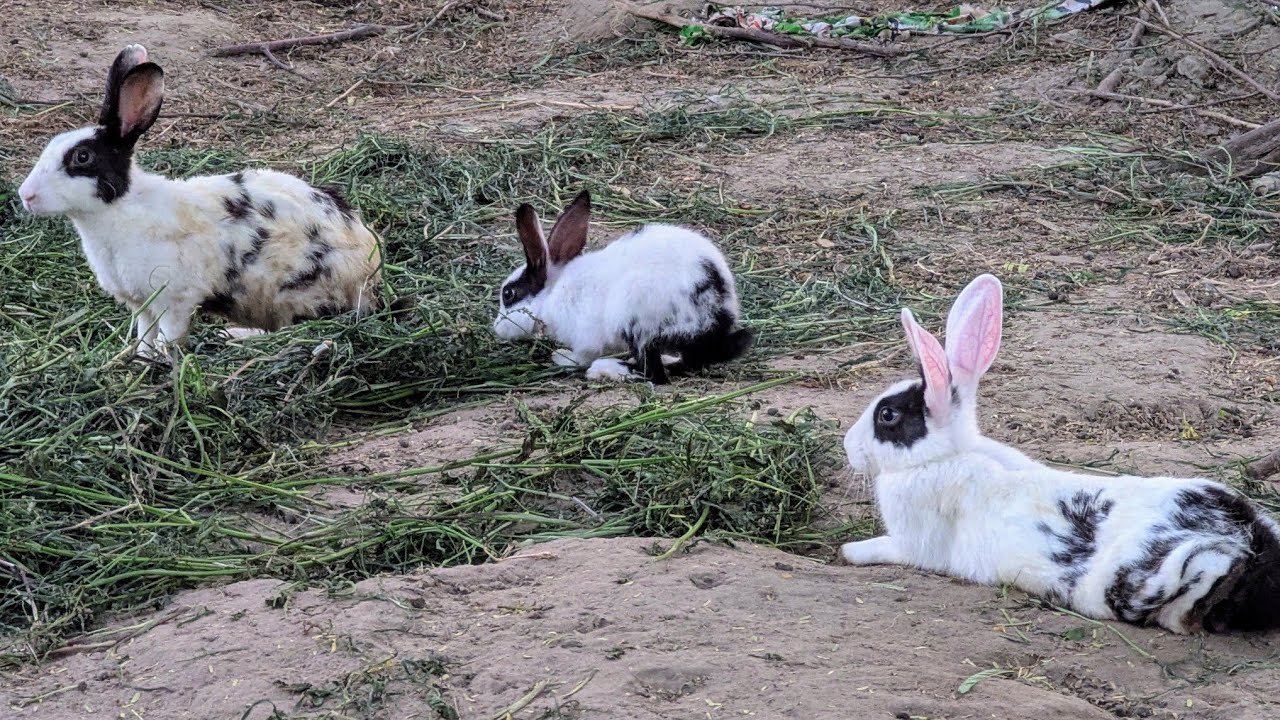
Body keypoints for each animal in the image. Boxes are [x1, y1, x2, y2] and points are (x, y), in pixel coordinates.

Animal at [17, 45, 384, 359]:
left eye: (82, 157)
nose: (26, 195)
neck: (120, 208)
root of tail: (372, 269)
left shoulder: (176, 300)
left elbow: (169, 335)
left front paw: (160, 361)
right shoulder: (144, 305)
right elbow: (145, 333)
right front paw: (139, 358)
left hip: (297, 295)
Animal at [492, 190, 754, 384]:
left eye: (508, 294)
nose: (496, 329)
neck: (550, 295)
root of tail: (716, 311)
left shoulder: (585, 338)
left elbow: (582, 356)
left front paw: (562, 357)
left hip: (637, 324)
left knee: (655, 375)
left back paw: (607, 369)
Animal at [840, 273, 1280, 634]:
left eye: (887, 415)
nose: (848, 446)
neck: (941, 457)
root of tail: (1253, 542)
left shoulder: (914, 543)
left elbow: (884, 548)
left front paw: (848, 552)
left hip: (1180, 570)